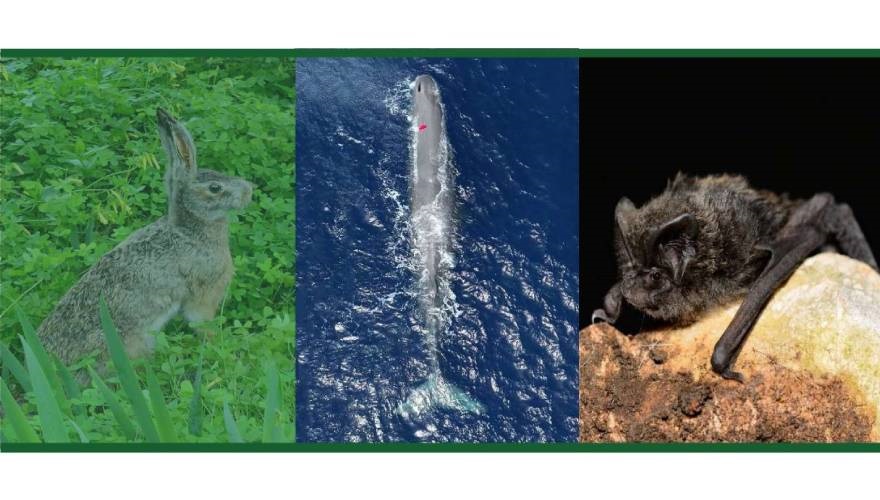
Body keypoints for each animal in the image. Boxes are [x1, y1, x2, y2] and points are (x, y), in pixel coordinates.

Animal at [37, 108, 253, 368]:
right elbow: (202, 325)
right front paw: (223, 348)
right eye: (215, 188)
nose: (249, 191)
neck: (190, 229)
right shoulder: (203, 295)